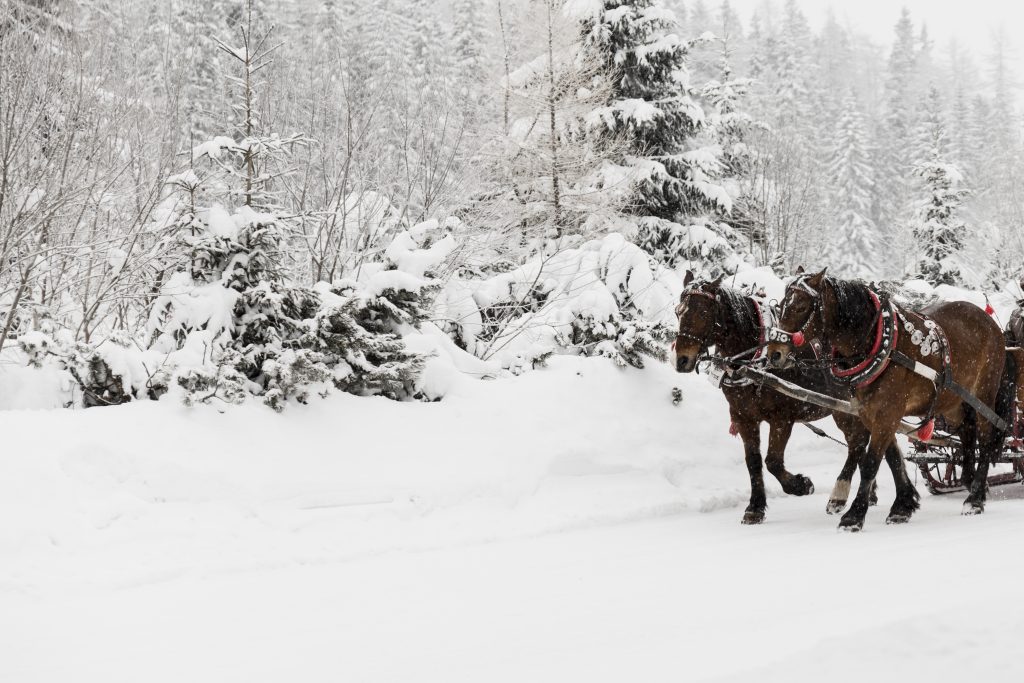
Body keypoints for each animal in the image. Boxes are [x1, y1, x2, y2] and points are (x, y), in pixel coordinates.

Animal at [673, 272, 916, 525]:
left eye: (702, 313)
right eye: (677, 312)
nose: (681, 359)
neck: (757, 361)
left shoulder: (782, 419)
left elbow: (772, 461)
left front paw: (800, 485)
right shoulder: (743, 417)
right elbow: (753, 462)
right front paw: (755, 507)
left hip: (849, 411)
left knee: (859, 444)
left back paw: (842, 495)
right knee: (877, 443)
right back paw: (882, 495)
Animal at [766, 269, 1016, 531]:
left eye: (801, 306)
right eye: (781, 305)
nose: (775, 353)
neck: (879, 345)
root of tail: (990, 323)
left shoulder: (887, 413)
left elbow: (871, 463)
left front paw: (854, 516)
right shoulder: (871, 413)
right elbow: (892, 458)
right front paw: (903, 506)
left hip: (984, 393)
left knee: (985, 439)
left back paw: (974, 499)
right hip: (953, 399)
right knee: (967, 430)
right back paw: (971, 481)